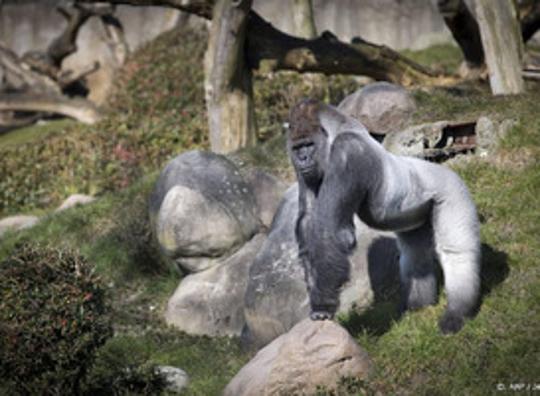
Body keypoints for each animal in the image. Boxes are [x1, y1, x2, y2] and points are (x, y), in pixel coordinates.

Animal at [286, 99, 480, 334]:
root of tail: (450, 171)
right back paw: (418, 306)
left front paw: (322, 305)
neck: (337, 129)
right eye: (297, 148)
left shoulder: (347, 151)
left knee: (456, 252)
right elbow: (308, 221)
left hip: (453, 191)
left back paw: (457, 313)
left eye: (308, 145)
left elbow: (331, 232)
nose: (302, 158)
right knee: (415, 255)